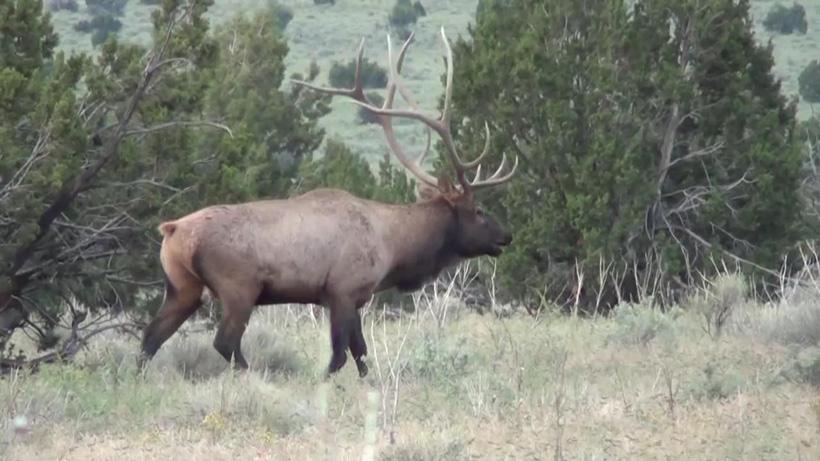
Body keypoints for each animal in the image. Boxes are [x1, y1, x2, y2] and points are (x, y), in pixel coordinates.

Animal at [138, 28, 518, 378]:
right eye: (479, 211)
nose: (506, 236)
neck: (393, 249)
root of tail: (172, 230)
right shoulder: (343, 290)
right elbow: (341, 356)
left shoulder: (351, 297)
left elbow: (360, 353)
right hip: (238, 287)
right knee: (225, 342)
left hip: (182, 287)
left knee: (150, 338)